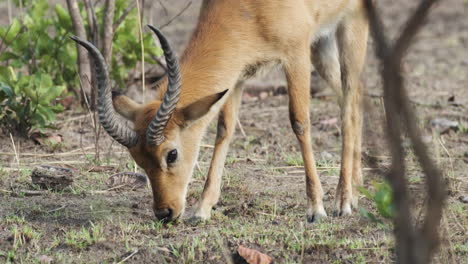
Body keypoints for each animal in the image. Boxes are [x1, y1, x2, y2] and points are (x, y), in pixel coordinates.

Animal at [71, 0, 368, 223]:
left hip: (350, 27)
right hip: (322, 46)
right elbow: (224, 130)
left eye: (171, 154)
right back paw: (355, 190)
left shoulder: (295, 55)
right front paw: (202, 209)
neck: (250, 9)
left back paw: (343, 201)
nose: (165, 213)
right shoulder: (236, 75)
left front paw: (316, 208)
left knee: (349, 105)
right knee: (354, 101)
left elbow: (299, 122)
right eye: (139, 160)